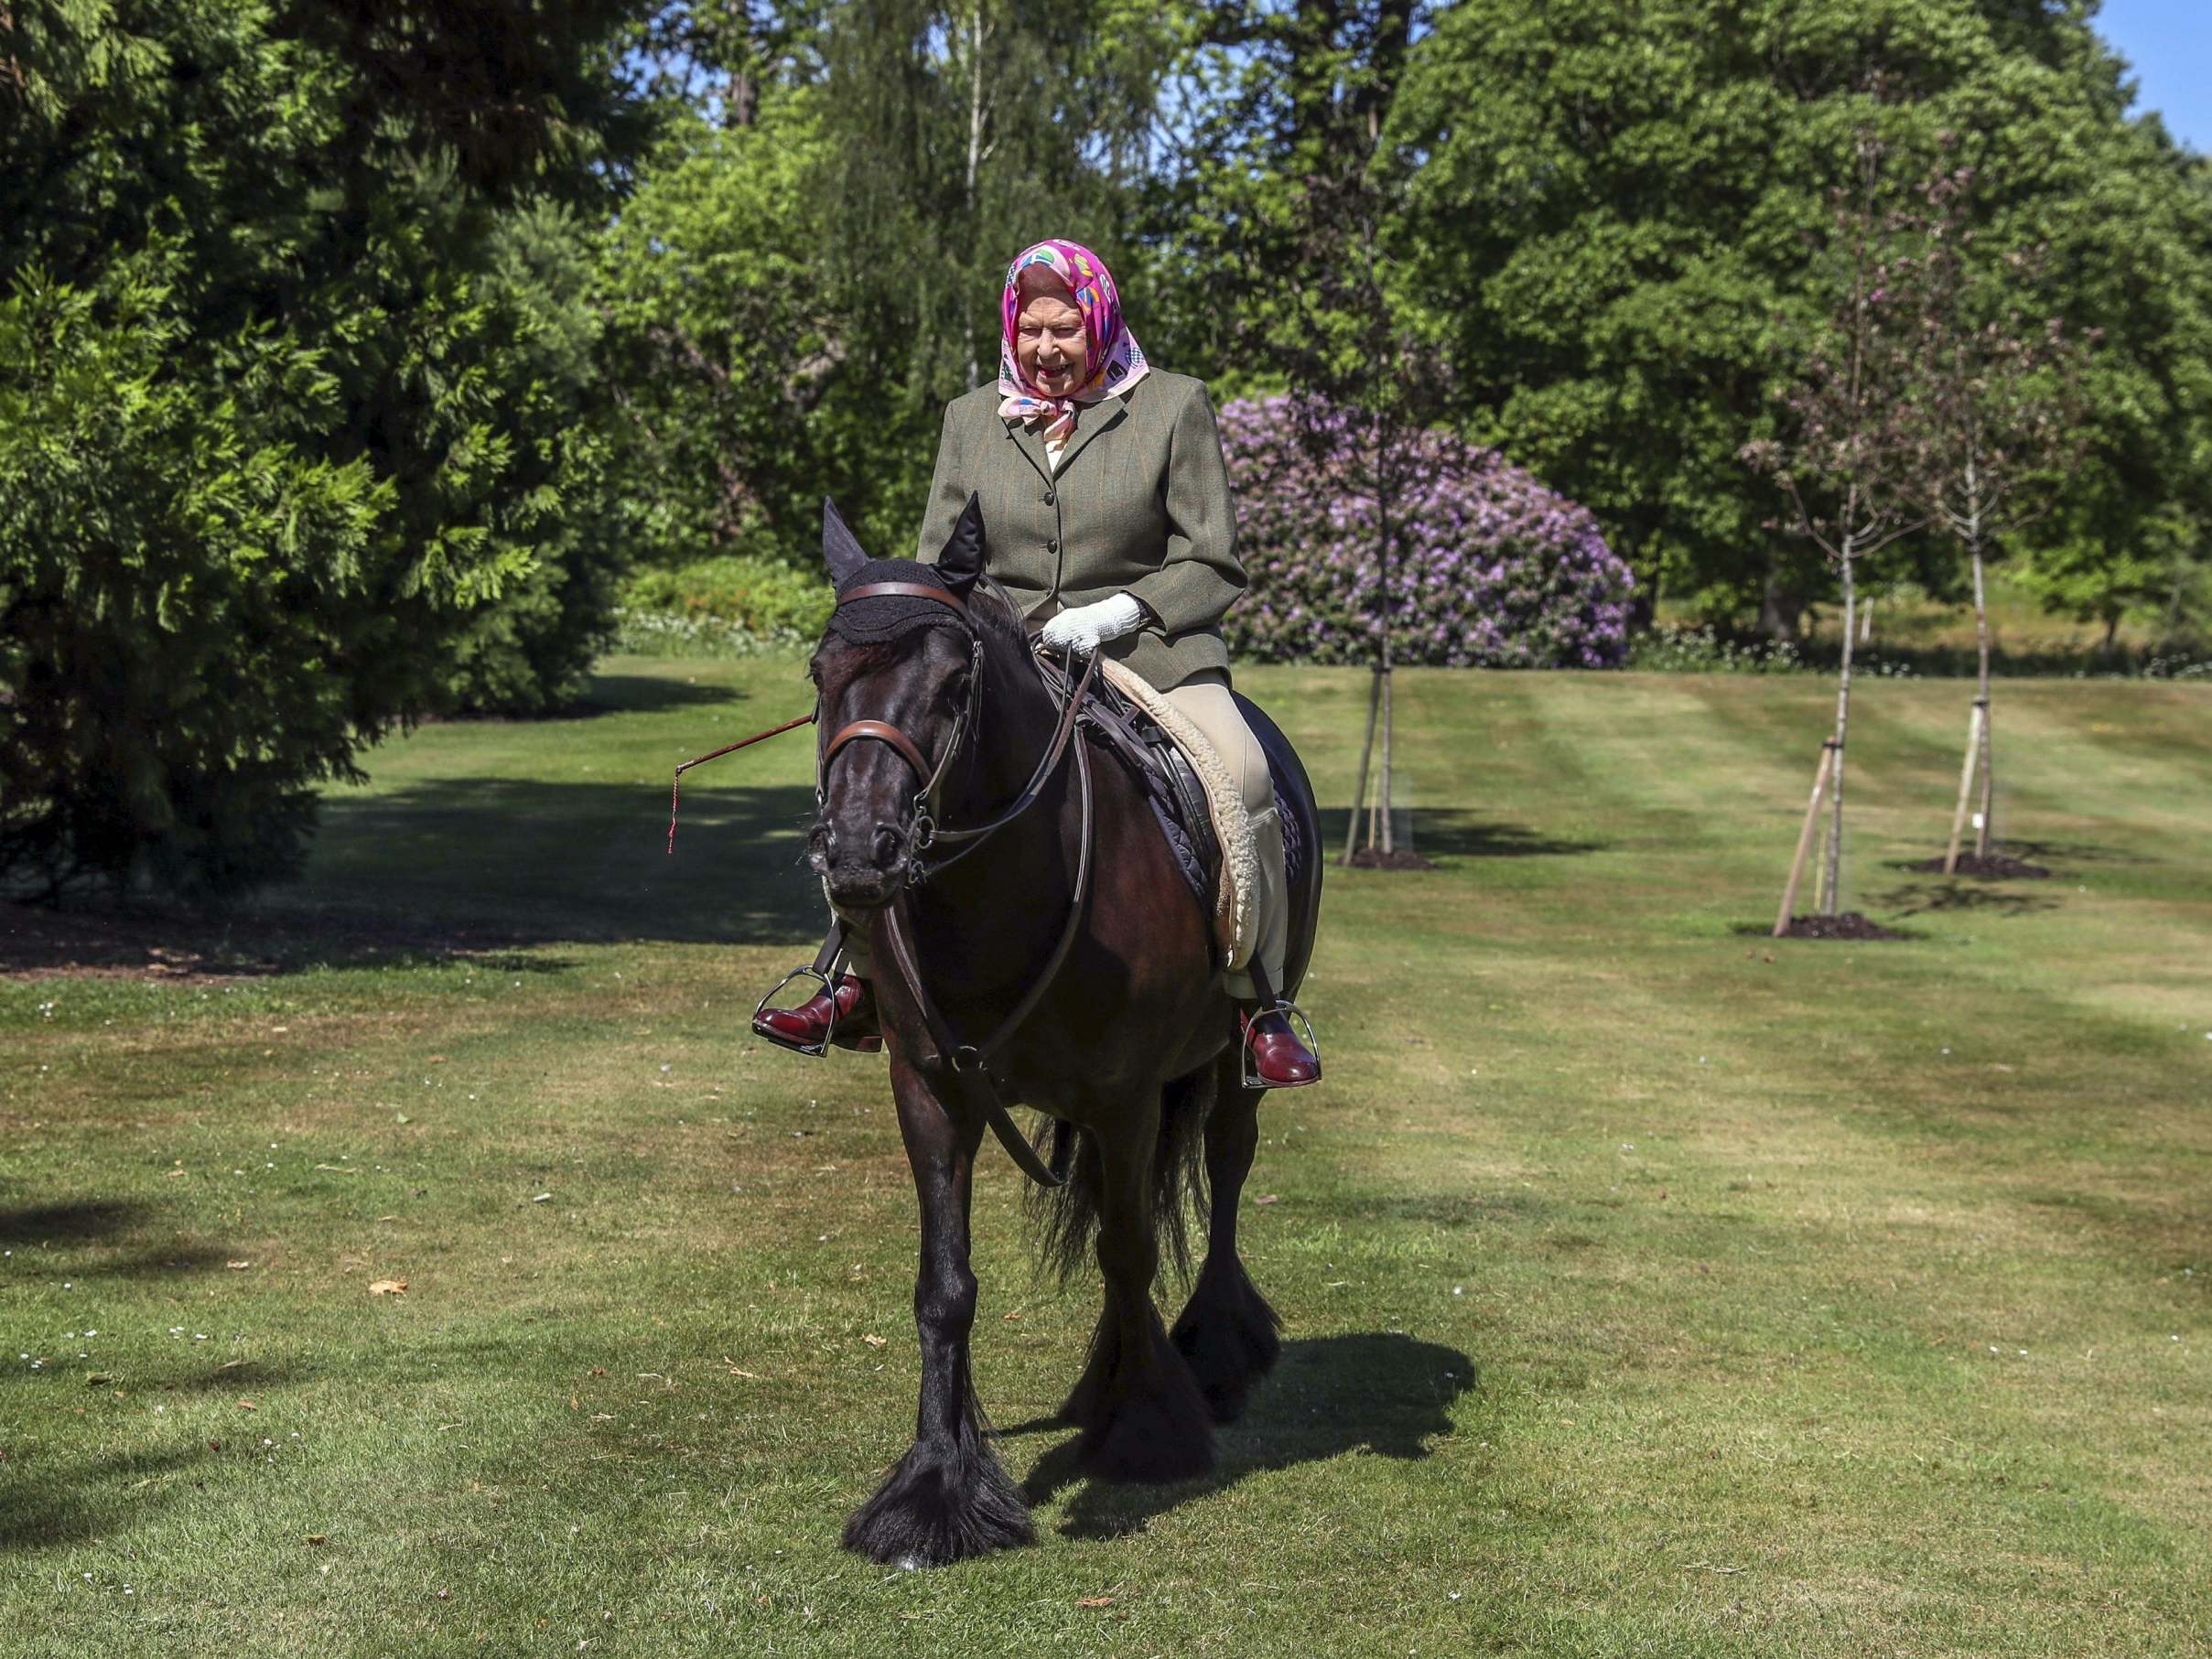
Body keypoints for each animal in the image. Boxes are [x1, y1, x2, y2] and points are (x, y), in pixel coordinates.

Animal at [809, 500, 1318, 1566]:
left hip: (1233, 1062)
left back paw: (1214, 1349)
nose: (859, 852)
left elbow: (1127, 1252)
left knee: (1225, 1170)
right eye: (819, 674)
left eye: (953, 682)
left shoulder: (1124, 1096)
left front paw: (1145, 1428)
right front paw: (935, 1488)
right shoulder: (930, 1090)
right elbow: (944, 1286)